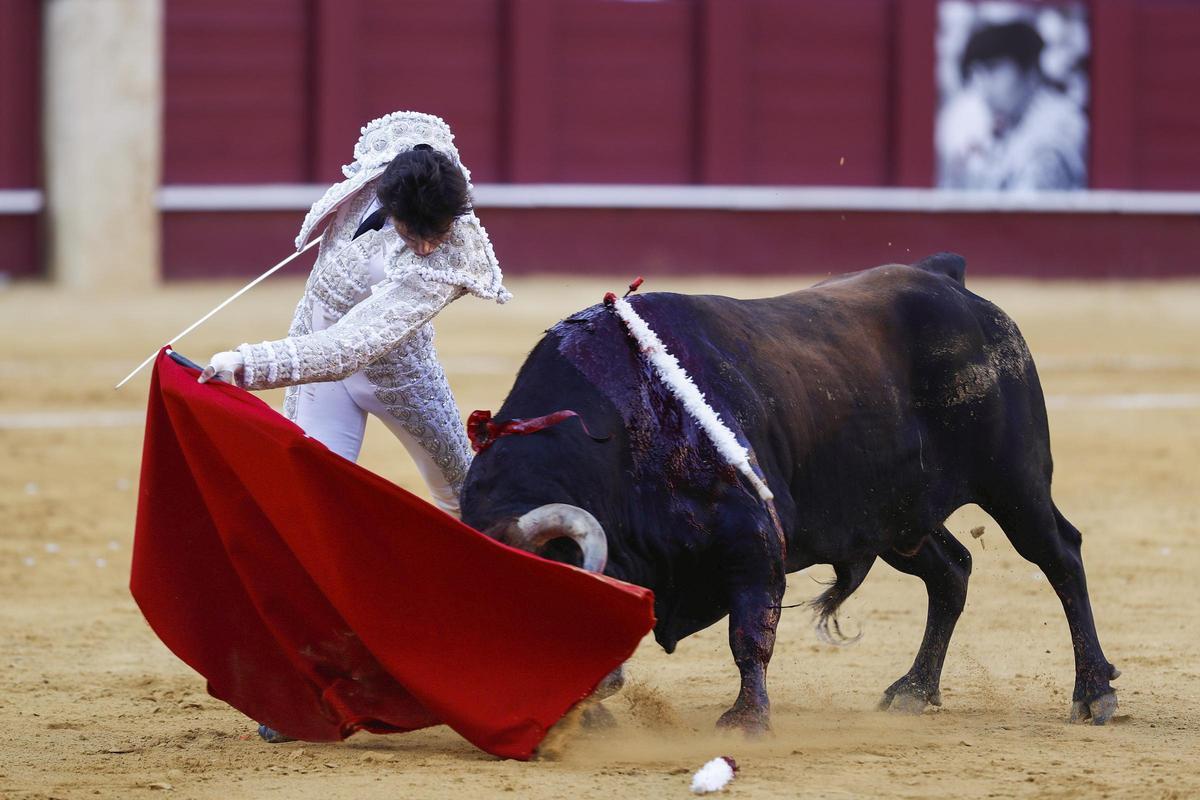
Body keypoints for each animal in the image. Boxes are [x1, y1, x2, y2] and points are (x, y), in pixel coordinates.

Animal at [458, 256, 1113, 734]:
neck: (620, 428)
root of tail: (949, 280)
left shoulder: (750, 537)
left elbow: (749, 633)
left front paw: (746, 720)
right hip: (895, 517)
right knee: (952, 570)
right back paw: (914, 689)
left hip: (1015, 482)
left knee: (1060, 555)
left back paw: (1092, 693)